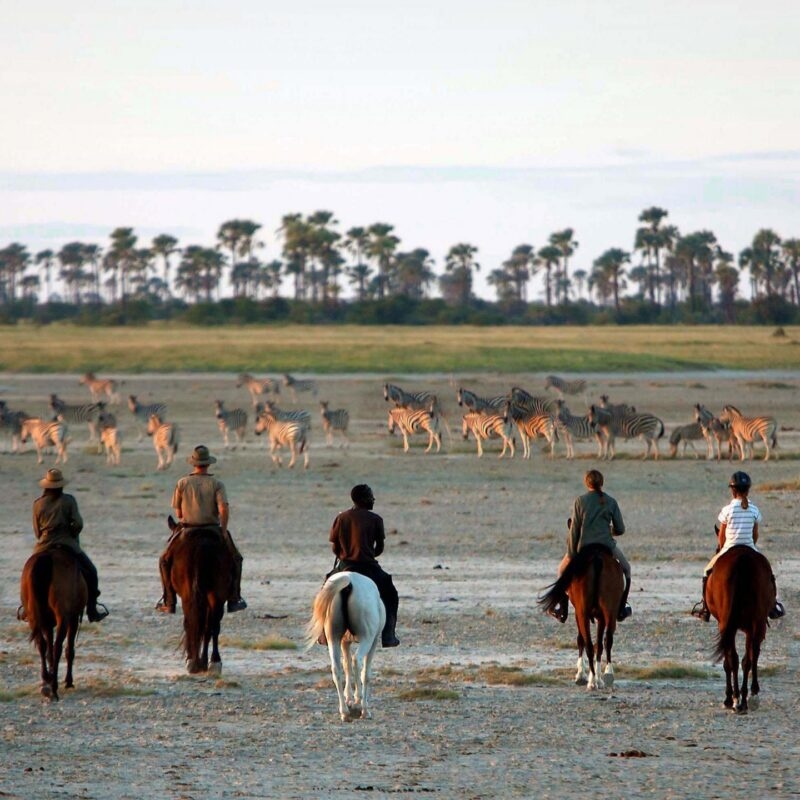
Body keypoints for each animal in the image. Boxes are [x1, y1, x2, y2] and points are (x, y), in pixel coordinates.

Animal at [19, 548, 88, 701]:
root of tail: (46, 558)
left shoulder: (47, 623)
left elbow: (48, 648)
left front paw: (49, 677)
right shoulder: (73, 618)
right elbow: (69, 649)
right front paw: (68, 681)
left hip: (34, 617)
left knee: (42, 644)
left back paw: (46, 681)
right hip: (63, 617)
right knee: (58, 647)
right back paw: (54, 688)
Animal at [167, 520, 233, 675]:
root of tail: (201, 545)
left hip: (190, 595)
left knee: (193, 622)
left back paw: (196, 661)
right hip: (216, 595)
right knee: (211, 625)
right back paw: (212, 662)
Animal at [307, 572, 385, 722]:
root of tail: (349, 581)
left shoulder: (344, 642)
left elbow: (346, 666)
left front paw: (349, 698)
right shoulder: (374, 641)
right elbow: (365, 673)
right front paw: (359, 702)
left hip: (334, 638)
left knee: (336, 669)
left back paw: (345, 712)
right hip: (367, 638)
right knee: (357, 661)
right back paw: (361, 707)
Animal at [539, 544, 624, 690]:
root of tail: (597, 558)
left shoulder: (578, 613)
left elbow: (581, 640)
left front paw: (581, 675)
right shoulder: (600, 617)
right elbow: (599, 644)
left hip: (583, 613)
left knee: (589, 644)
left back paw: (592, 681)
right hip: (609, 611)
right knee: (606, 641)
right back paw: (606, 675)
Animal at [706, 546, 775, 713]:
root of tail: (741, 559)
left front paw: (730, 697)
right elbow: (750, 656)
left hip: (734, 625)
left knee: (736, 659)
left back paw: (736, 698)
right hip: (755, 623)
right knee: (746, 658)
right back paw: (743, 698)